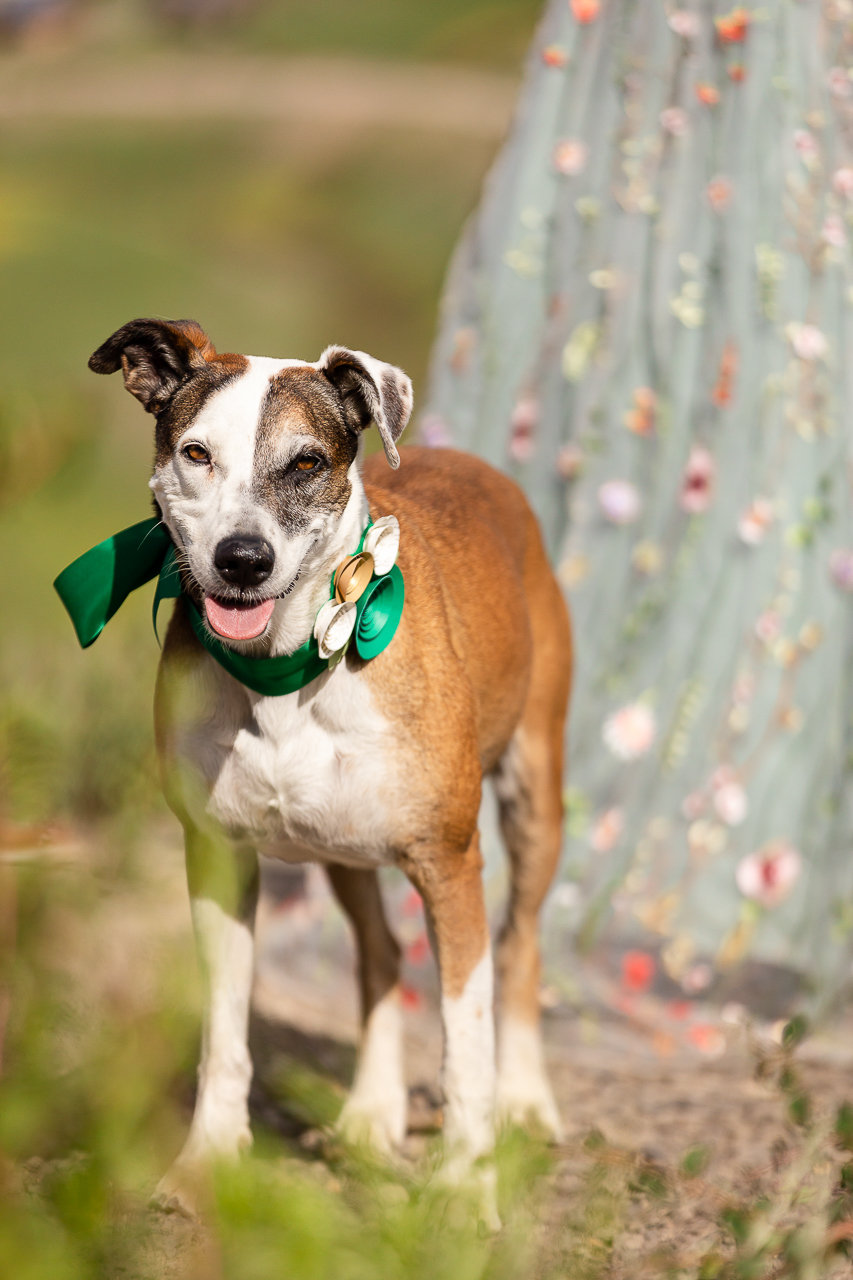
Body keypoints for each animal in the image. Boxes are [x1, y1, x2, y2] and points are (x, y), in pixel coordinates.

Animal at [87, 314, 571, 1213]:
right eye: (197, 453)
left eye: (307, 462)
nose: (242, 558)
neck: (287, 670)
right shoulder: (216, 855)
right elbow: (224, 1029)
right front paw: (207, 1161)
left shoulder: (450, 864)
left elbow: (465, 1038)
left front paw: (464, 1190)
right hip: (343, 850)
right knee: (378, 952)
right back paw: (372, 1114)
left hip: (533, 792)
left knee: (520, 941)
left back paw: (526, 1101)